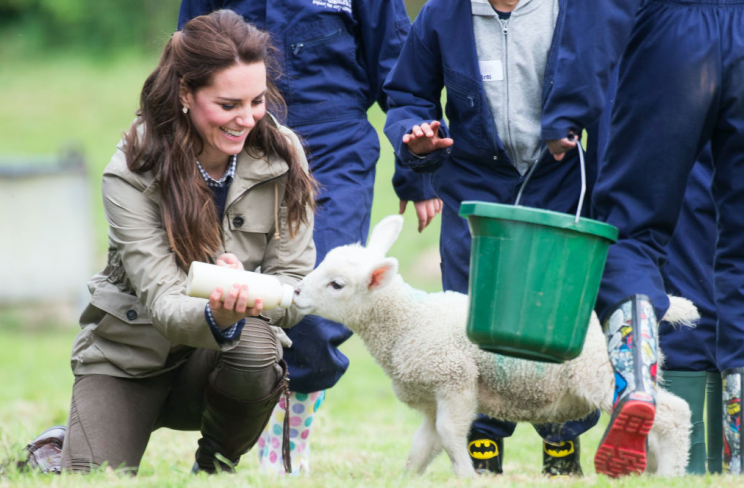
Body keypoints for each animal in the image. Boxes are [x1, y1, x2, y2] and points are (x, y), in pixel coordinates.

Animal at [292, 216, 696, 476]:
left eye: (337, 285)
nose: (295, 293)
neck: (408, 321)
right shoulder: (430, 396)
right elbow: (422, 447)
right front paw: (408, 479)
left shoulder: (453, 377)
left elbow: (450, 435)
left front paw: (466, 475)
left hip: (600, 372)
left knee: (675, 414)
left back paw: (670, 474)